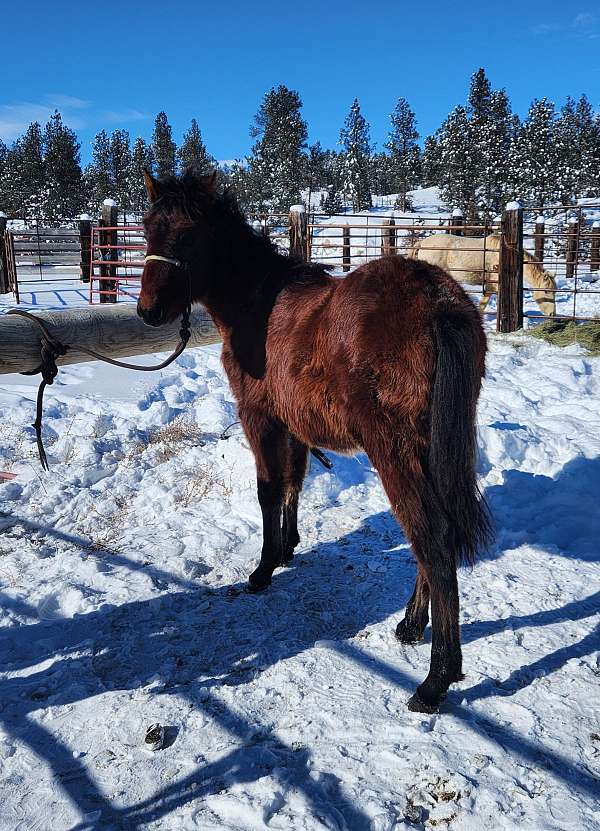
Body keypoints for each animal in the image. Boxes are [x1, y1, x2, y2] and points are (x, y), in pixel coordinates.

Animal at [137, 171, 492, 716]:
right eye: (148, 227)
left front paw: (263, 569)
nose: (148, 311)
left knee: (430, 536)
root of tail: (438, 300)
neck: (258, 306)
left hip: (394, 450)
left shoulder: (259, 418)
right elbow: (293, 485)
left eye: (190, 236)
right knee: (437, 534)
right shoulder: (293, 425)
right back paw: (412, 625)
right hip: (429, 448)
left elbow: (268, 489)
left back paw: (437, 678)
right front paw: (287, 548)